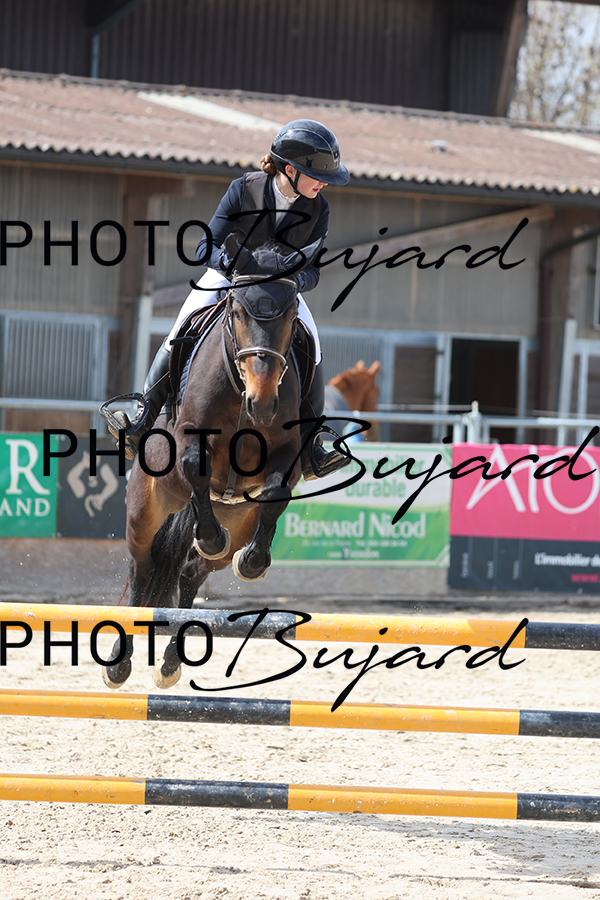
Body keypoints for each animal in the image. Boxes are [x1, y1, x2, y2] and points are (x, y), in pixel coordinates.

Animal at [102, 243, 319, 691]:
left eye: (291, 315)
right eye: (237, 312)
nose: (262, 404)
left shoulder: (287, 454)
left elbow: (276, 492)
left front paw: (252, 562)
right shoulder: (189, 443)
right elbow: (194, 466)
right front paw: (210, 536)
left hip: (238, 521)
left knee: (191, 574)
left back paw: (170, 662)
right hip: (143, 514)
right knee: (142, 571)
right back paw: (118, 665)